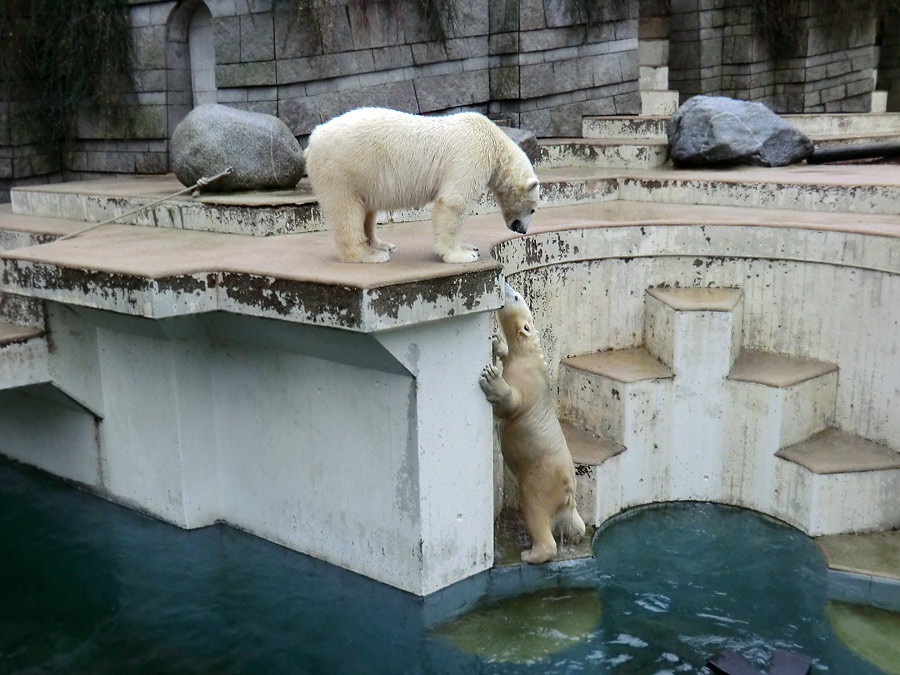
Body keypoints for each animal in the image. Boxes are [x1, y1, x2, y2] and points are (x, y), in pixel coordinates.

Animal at [302, 108, 540, 264]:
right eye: (533, 209)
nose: (522, 229)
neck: (493, 141)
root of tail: (312, 140)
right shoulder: (471, 155)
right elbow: (454, 202)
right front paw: (462, 255)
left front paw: (468, 246)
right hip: (343, 170)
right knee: (347, 211)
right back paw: (369, 255)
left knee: (367, 211)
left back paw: (381, 244)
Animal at [478, 282, 584, 564]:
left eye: (515, 296)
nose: (503, 282)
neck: (530, 355)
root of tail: (569, 490)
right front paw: (497, 343)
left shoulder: (525, 379)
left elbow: (512, 402)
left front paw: (492, 377)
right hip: (567, 502)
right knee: (574, 522)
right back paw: (575, 535)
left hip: (542, 481)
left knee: (535, 509)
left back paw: (531, 553)